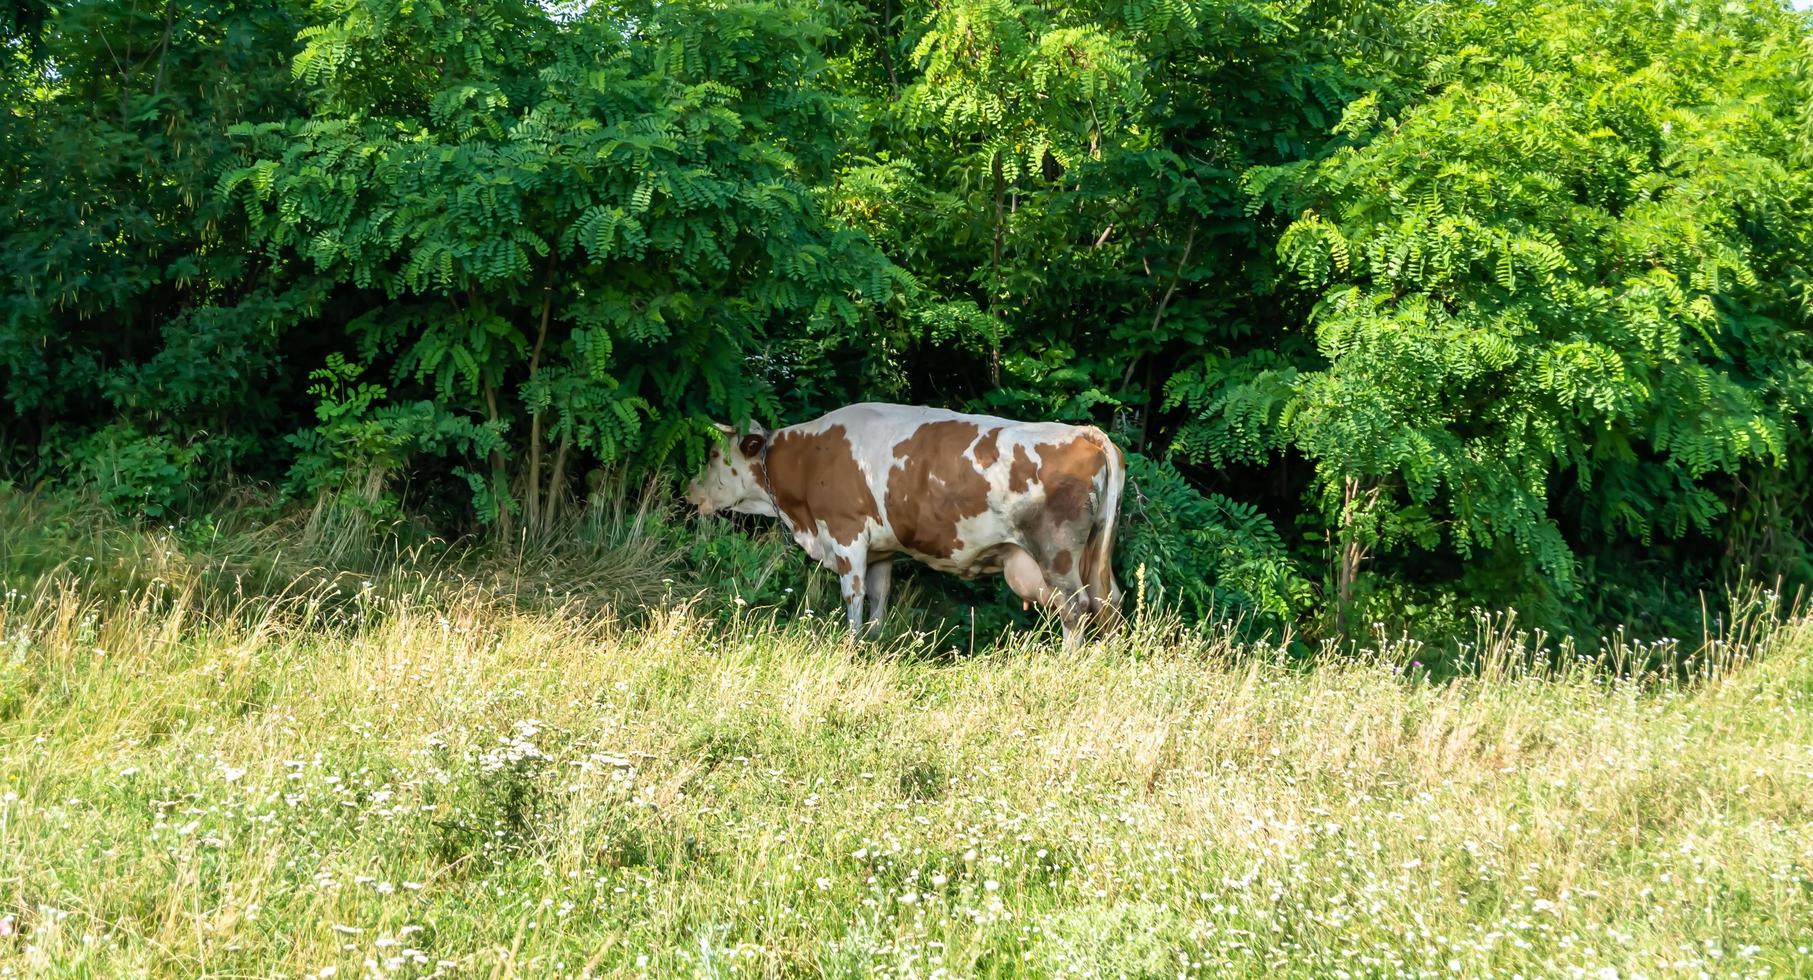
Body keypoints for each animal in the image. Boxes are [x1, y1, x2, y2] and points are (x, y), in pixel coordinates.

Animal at [685, 400, 1124, 644]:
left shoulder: (846, 536)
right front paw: (873, 643)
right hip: (1093, 553)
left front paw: (850, 646)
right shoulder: (881, 550)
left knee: (1076, 608)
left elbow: (854, 597)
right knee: (1110, 603)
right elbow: (879, 599)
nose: (689, 490)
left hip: (1056, 554)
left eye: (713, 453)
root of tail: (1086, 433)